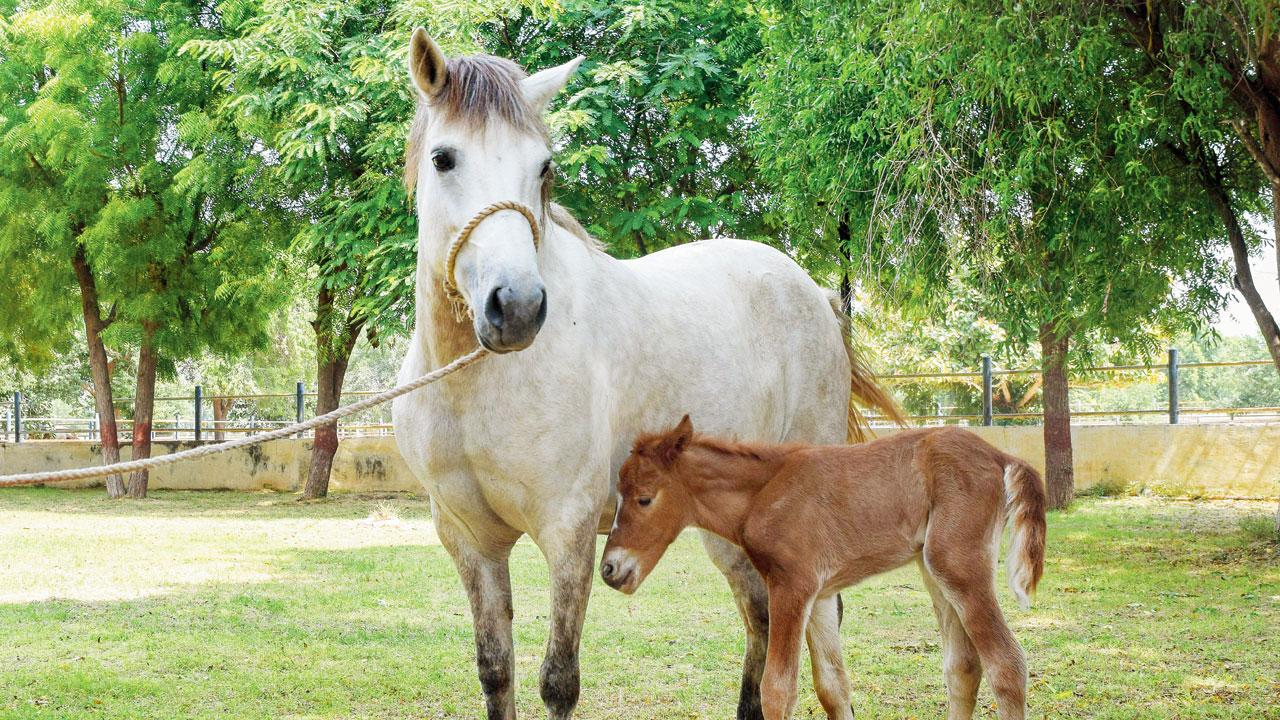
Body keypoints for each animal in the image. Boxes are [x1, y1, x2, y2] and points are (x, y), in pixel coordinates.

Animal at [389, 29, 901, 717]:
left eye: (543, 167)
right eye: (444, 159)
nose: (517, 307)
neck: (475, 387)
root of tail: (814, 292)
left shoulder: (570, 531)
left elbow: (558, 680)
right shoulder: (469, 540)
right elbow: (496, 670)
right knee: (762, 616)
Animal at [596, 415, 1039, 717]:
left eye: (645, 498)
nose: (609, 570)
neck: (762, 492)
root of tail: (999, 455)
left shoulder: (791, 586)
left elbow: (777, 690)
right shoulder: (821, 595)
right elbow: (832, 685)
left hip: (959, 567)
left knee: (1007, 664)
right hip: (934, 571)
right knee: (964, 668)